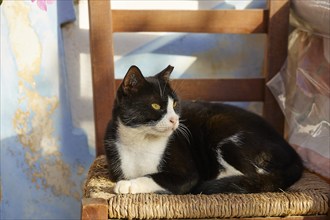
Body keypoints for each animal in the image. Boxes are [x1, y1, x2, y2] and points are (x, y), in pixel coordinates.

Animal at [104, 65, 302, 194]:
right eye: (155, 105)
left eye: (174, 104)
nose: (175, 120)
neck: (141, 141)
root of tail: (295, 155)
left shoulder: (188, 174)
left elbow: (155, 177)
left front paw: (128, 185)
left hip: (225, 133)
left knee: (255, 175)